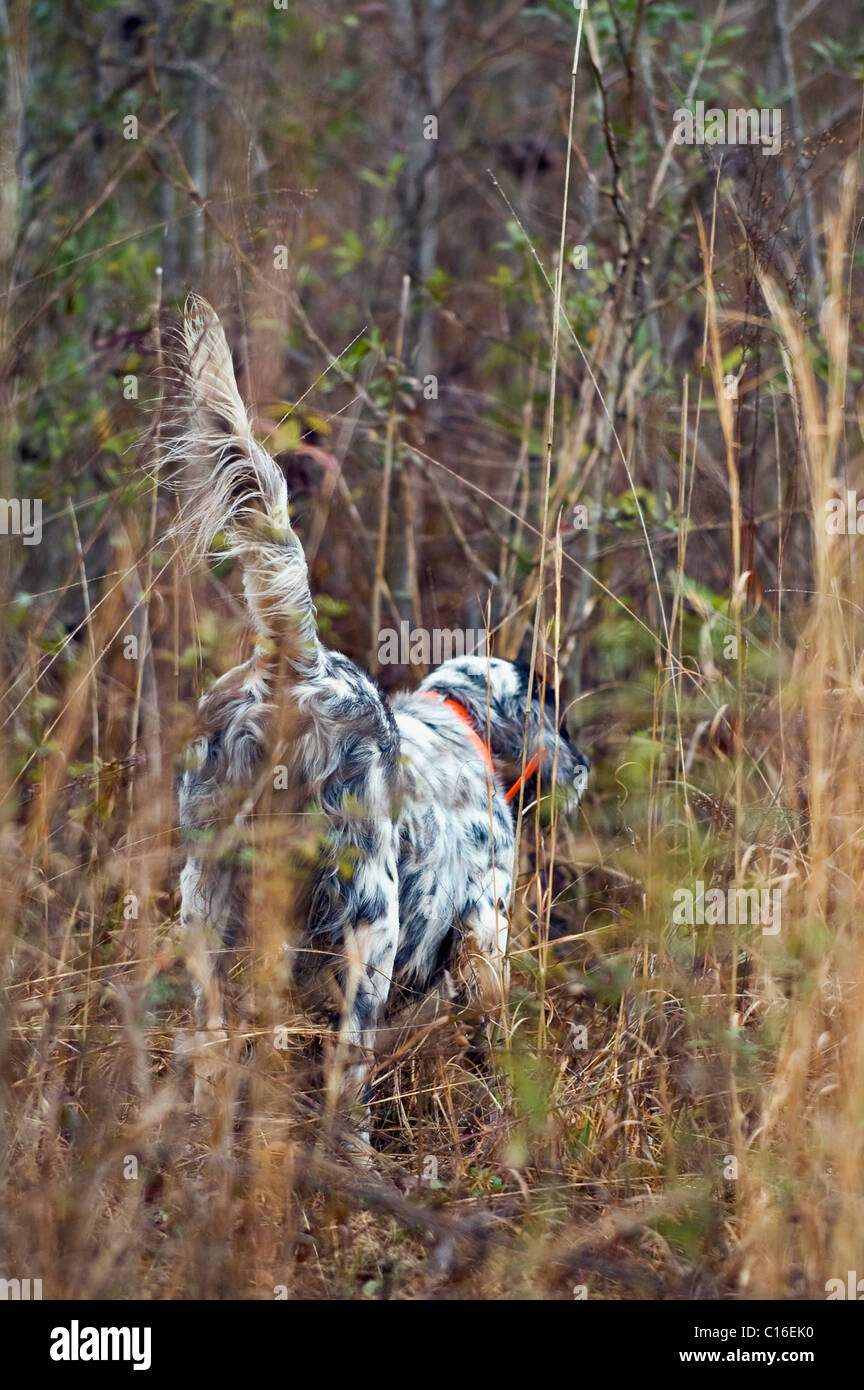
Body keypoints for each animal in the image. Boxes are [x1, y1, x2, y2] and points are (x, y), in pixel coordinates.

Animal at [179, 298, 591, 1134]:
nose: (583, 769)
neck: (457, 722)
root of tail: (298, 668)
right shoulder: (484, 930)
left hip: (203, 909)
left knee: (212, 1052)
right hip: (368, 925)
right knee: (347, 1078)